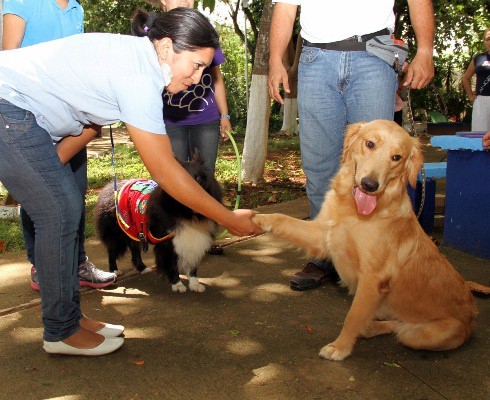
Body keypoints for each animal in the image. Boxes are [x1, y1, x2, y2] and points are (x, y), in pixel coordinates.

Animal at [94, 153, 221, 294]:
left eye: (198, 178)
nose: (193, 195)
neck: (185, 212)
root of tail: (110, 186)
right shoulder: (167, 242)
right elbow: (172, 264)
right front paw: (177, 285)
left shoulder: (194, 239)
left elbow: (192, 265)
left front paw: (194, 284)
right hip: (116, 233)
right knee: (112, 251)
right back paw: (114, 271)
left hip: (135, 232)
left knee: (134, 249)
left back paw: (143, 268)